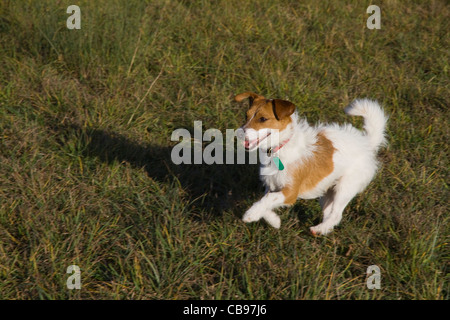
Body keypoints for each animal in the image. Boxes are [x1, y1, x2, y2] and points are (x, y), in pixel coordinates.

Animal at [236, 92, 386, 235]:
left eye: (263, 119)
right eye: (246, 116)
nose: (239, 133)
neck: (281, 146)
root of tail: (366, 143)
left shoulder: (290, 192)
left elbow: (269, 199)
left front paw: (251, 214)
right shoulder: (271, 185)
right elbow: (265, 202)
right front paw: (274, 221)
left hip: (345, 187)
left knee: (336, 215)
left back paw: (319, 229)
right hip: (326, 191)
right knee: (328, 212)